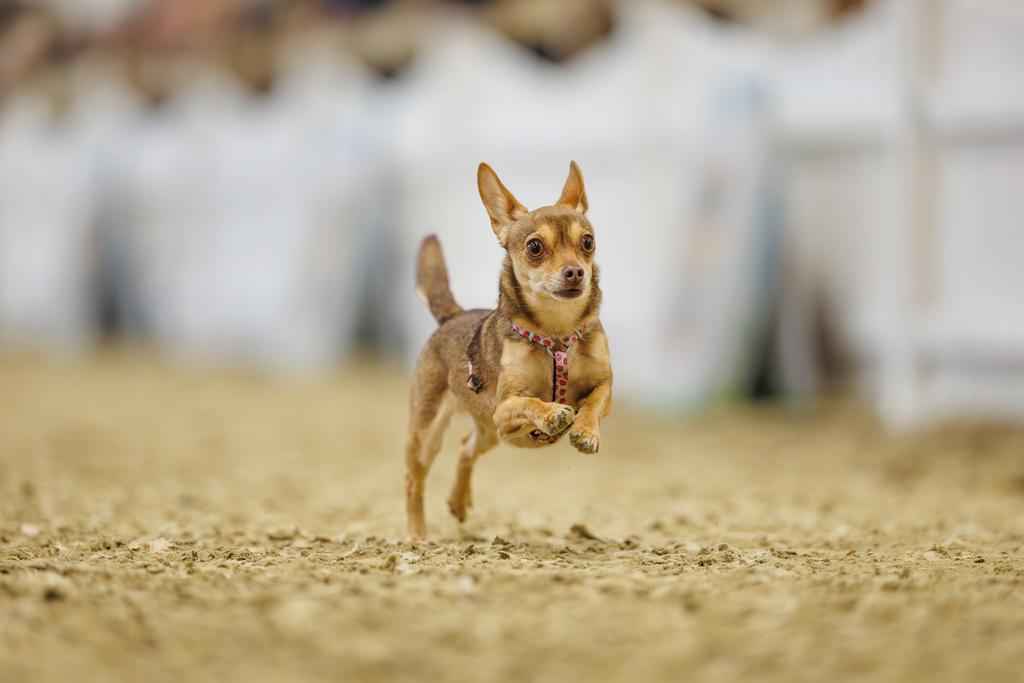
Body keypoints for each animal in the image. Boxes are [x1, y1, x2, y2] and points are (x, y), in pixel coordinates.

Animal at [405, 161, 612, 541]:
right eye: (535, 247)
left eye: (588, 243)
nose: (576, 271)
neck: (556, 334)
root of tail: (452, 315)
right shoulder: (503, 409)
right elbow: (529, 402)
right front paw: (551, 413)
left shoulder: (604, 384)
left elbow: (592, 402)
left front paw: (587, 432)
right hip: (430, 434)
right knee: (415, 479)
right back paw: (416, 534)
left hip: (489, 433)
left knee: (465, 446)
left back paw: (458, 502)